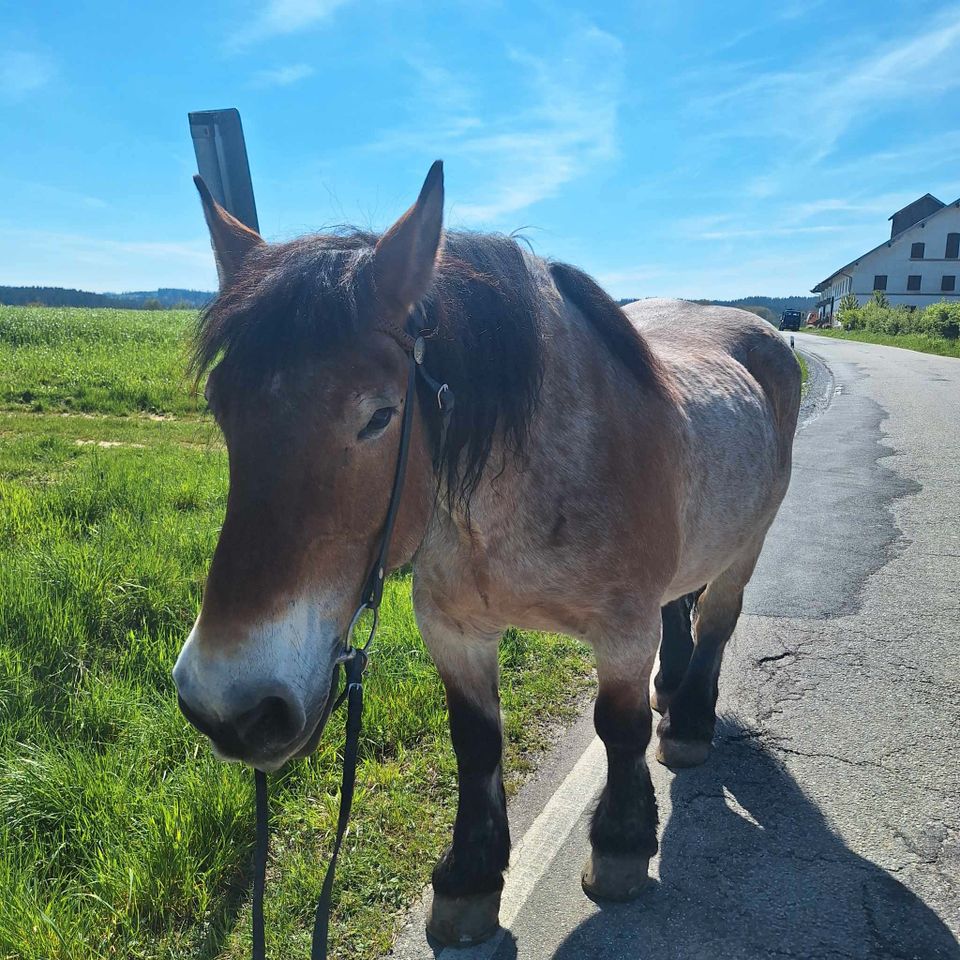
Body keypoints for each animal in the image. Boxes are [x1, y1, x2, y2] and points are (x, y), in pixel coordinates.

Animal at [174, 163, 804, 944]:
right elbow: (475, 742)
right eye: (222, 406)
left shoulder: (622, 633)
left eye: (380, 415)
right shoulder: (454, 631)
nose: (229, 705)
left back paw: (687, 721)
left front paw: (621, 843)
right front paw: (471, 876)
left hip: (748, 544)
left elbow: (619, 728)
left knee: (717, 619)